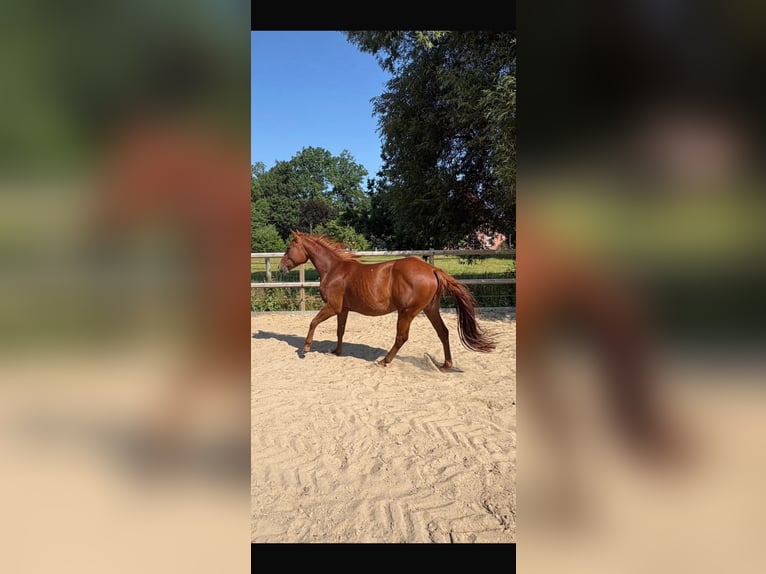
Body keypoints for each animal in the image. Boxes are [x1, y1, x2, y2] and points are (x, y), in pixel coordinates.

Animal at [277, 230, 496, 371]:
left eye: (288, 248)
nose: (280, 268)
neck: (334, 269)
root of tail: (432, 269)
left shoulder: (332, 306)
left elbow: (313, 322)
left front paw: (305, 348)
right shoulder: (343, 309)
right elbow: (340, 330)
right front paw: (336, 351)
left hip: (407, 312)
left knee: (401, 338)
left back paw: (384, 361)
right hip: (430, 309)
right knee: (443, 332)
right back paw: (446, 365)